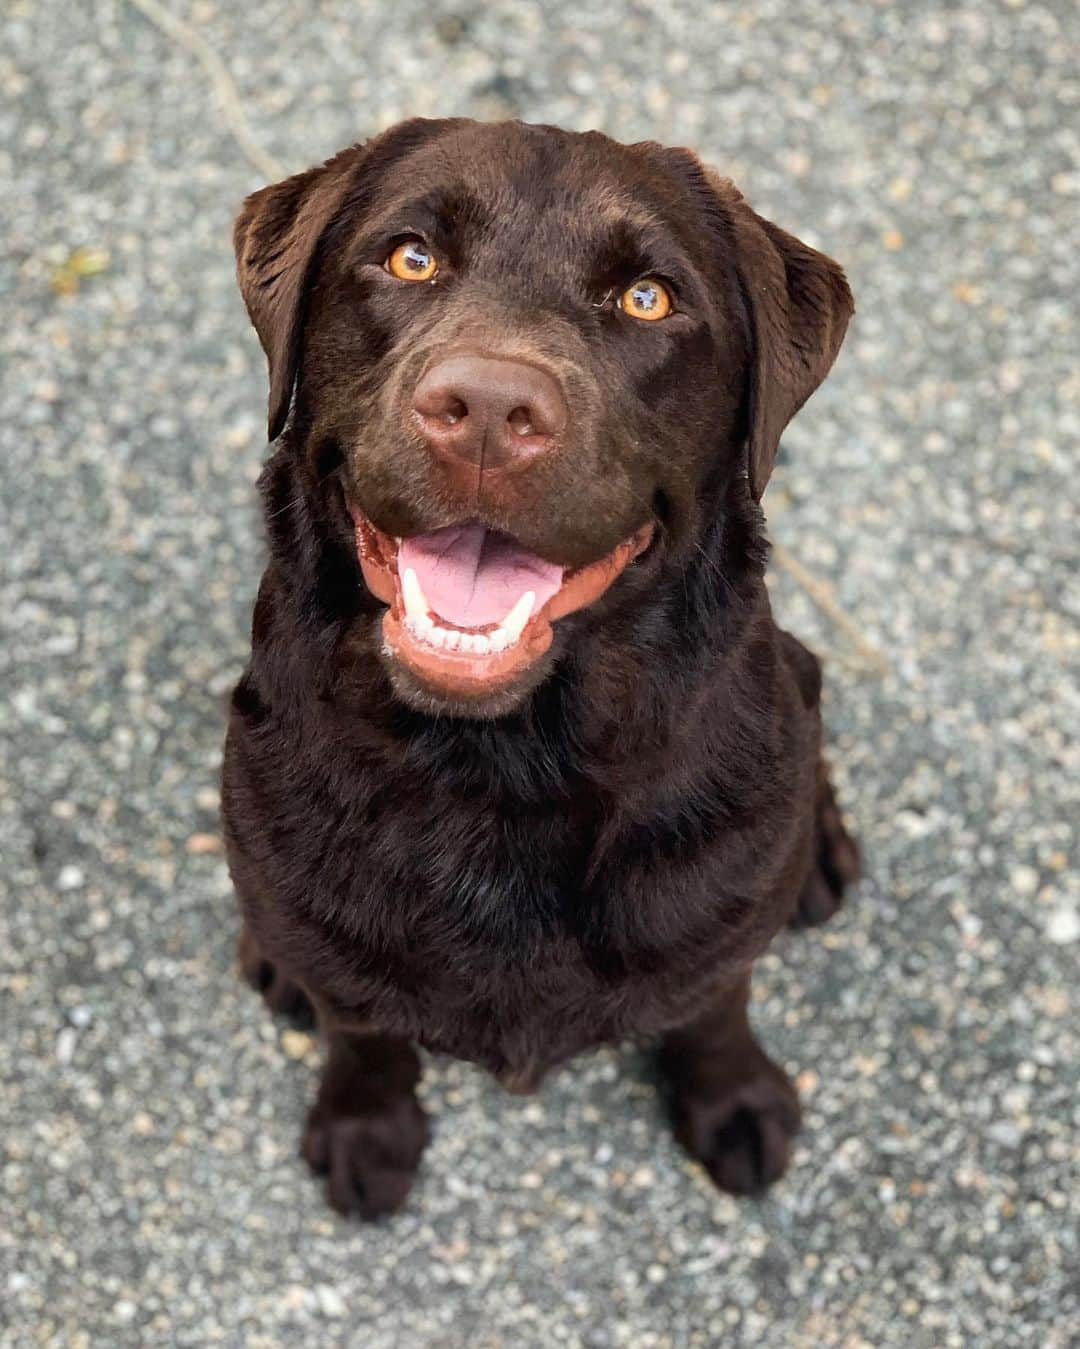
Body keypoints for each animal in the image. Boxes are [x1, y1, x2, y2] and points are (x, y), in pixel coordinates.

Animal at [225, 118, 857, 1224]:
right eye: (410, 258)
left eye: (648, 297)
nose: (485, 407)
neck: (508, 764)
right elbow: (362, 1027)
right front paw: (364, 1124)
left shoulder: (718, 911)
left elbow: (715, 1002)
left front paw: (734, 1096)